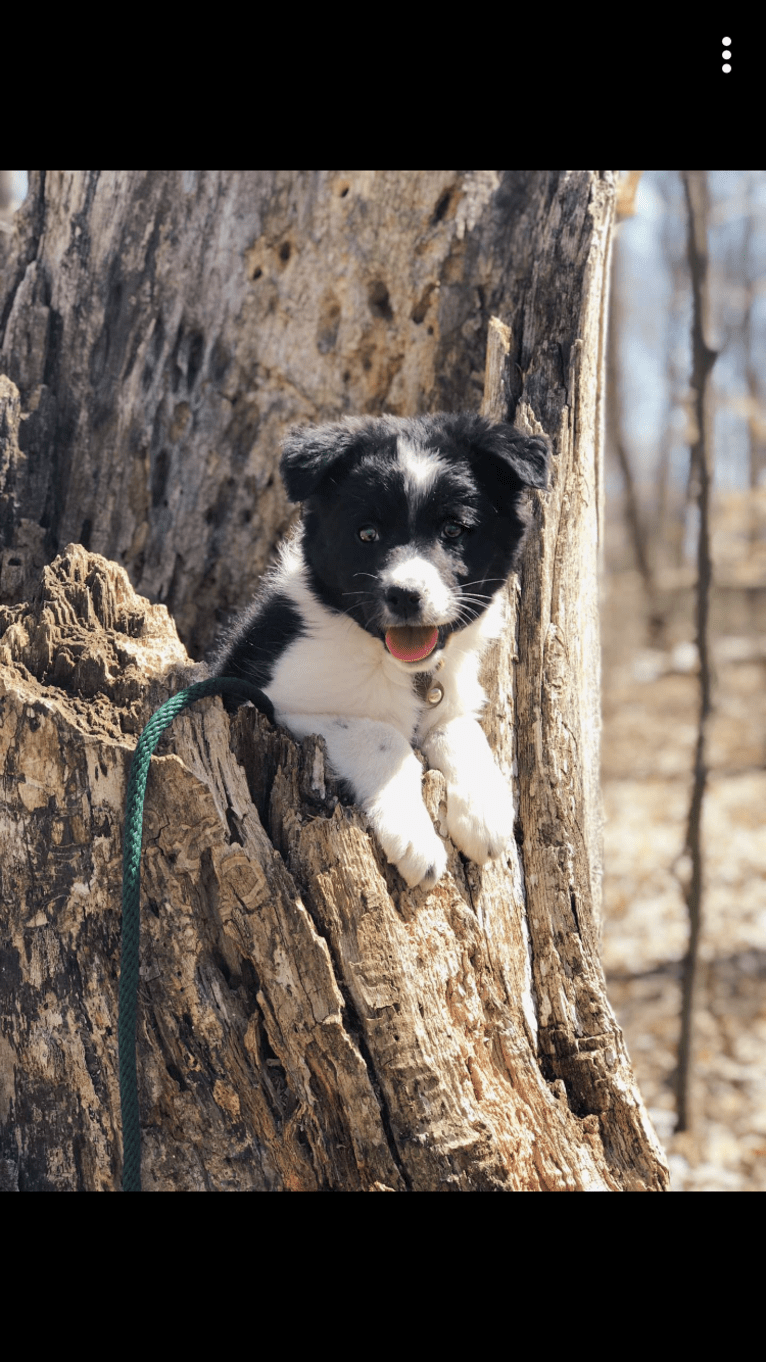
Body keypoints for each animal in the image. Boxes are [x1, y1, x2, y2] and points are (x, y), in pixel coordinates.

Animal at [215, 408, 545, 888]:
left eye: (453, 529)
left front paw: (484, 813)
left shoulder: (448, 698)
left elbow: (459, 729)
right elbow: (381, 735)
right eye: (367, 534)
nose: (405, 596)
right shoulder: (264, 698)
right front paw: (417, 841)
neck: (398, 667)